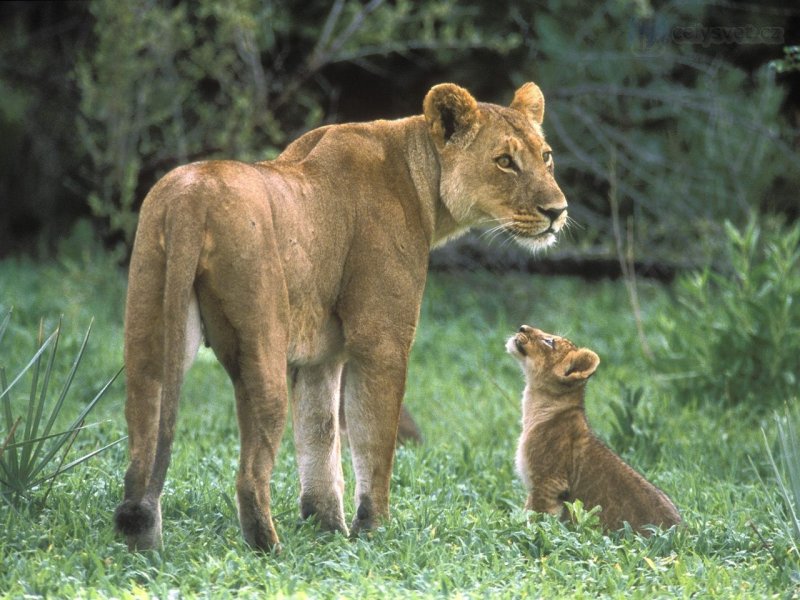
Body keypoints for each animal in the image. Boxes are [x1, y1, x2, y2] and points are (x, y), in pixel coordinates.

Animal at [114, 82, 568, 552]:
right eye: (504, 161)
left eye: (546, 156)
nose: (558, 211)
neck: (421, 178)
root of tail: (190, 198)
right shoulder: (381, 341)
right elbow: (374, 441)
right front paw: (374, 531)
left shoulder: (321, 357)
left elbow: (319, 438)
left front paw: (326, 530)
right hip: (261, 349)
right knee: (249, 475)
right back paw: (271, 551)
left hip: (149, 332)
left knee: (141, 450)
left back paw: (143, 544)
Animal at [506, 325, 681, 535]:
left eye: (550, 342)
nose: (522, 327)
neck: (537, 405)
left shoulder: (548, 482)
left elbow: (536, 519)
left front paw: (526, 535)